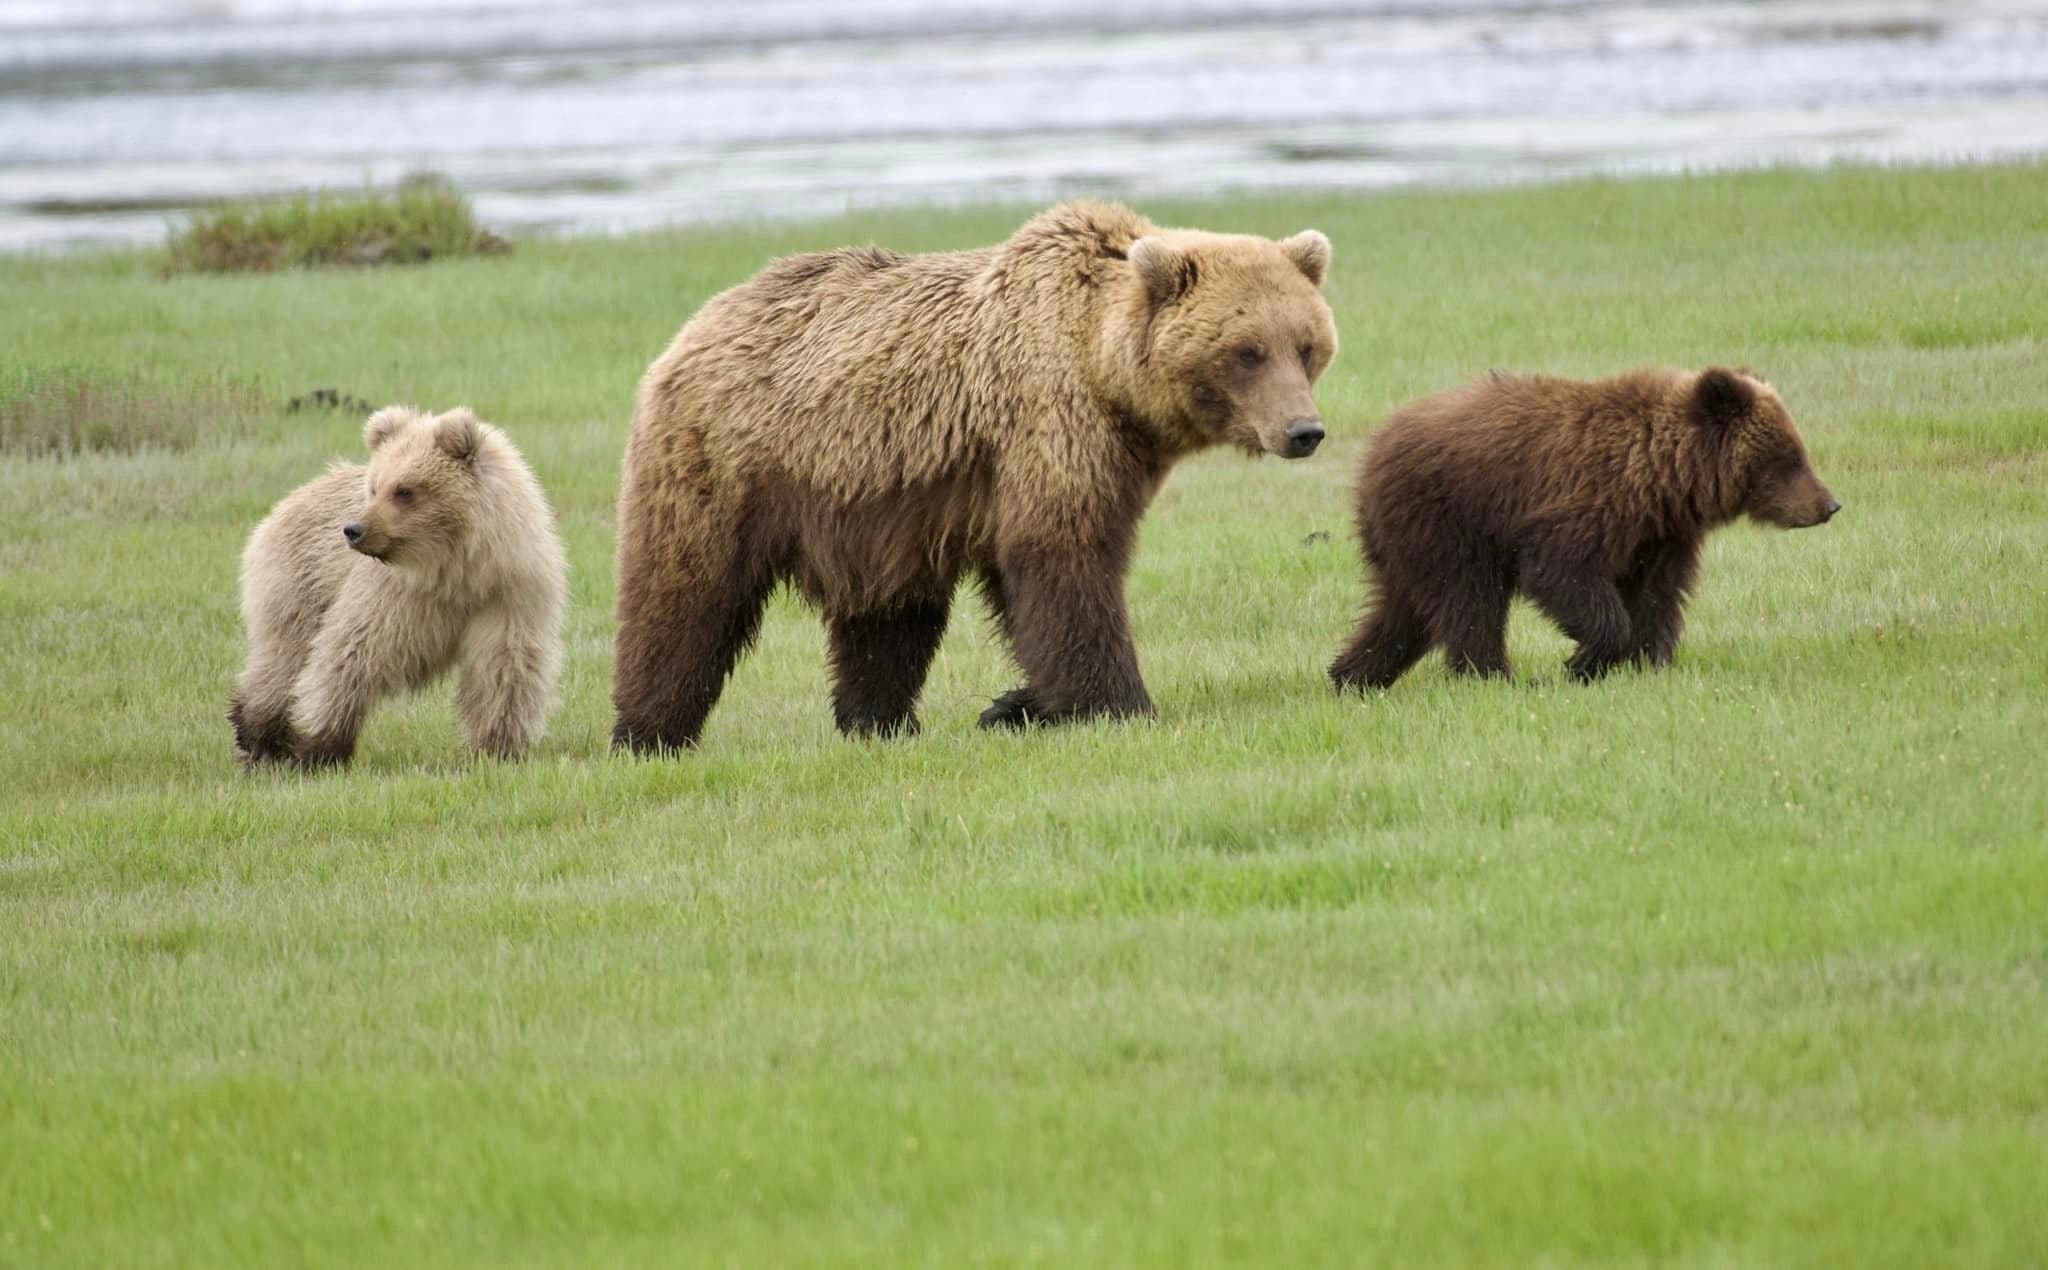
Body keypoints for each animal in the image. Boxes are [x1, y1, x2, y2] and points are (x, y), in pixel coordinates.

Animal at [229, 405, 567, 767]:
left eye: (405, 490)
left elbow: (503, 668)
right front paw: (319, 747)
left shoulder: (508, 595)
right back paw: (259, 737)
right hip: (298, 583)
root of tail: (290, 498)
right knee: (283, 658)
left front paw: (496, 749)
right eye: (375, 487)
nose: (354, 529)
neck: (459, 570)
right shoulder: (397, 597)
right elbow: (349, 653)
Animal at [611, 201, 1338, 753]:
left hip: (877, 504)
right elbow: (1063, 563)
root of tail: (694, 326)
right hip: (726, 462)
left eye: (1306, 345)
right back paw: (649, 733)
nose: (1304, 431)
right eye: (1247, 351)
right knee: (685, 594)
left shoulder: (1101, 456)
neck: (1108, 374)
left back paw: (878, 722)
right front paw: (1120, 703)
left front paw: (1020, 705)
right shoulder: (1048, 424)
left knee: (888, 620)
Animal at [1328, 366, 1839, 690]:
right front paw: (1584, 661)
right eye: (1790, 457)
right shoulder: (1585, 505)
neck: (1663, 481)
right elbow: (1563, 573)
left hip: (1406, 542)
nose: (1829, 504)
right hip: (1449, 523)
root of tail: (1374, 449)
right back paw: (1494, 676)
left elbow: (1658, 597)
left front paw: (1646, 662)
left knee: (1403, 612)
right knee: (1471, 602)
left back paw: (1351, 676)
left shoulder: (1660, 537)